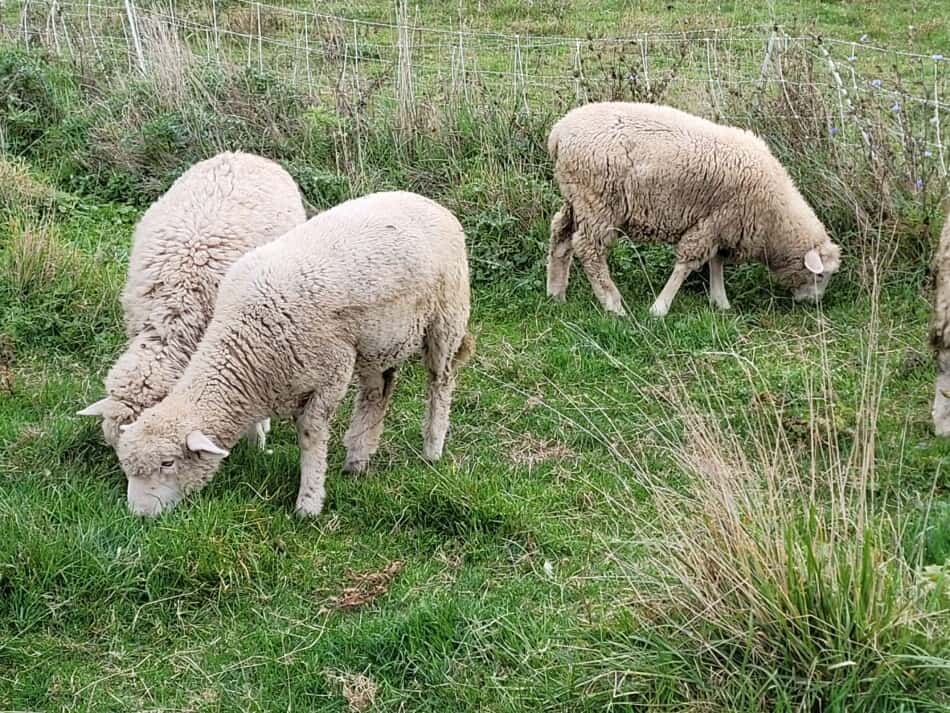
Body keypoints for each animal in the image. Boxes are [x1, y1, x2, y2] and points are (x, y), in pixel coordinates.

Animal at [116, 192, 476, 516]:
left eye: (167, 463)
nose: (138, 515)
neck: (245, 344)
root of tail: (433, 204)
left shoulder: (332, 373)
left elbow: (310, 437)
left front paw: (309, 503)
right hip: (378, 339)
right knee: (377, 393)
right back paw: (357, 458)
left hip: (446, 316)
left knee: (440, 381)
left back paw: (432, 448)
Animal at [548, 101, 844, 316]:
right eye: (820, 275)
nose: (814, 303)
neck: (775, 216)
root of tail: (559, 133)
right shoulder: (716, 220)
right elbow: (688, 263)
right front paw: (660, 308)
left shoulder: (723, 225)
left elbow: (716, 262)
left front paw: (720, 301)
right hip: (598, 202)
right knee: (589, 250)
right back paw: (613, 305)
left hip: (577, 198)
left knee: (560, 234)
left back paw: (556, 293)